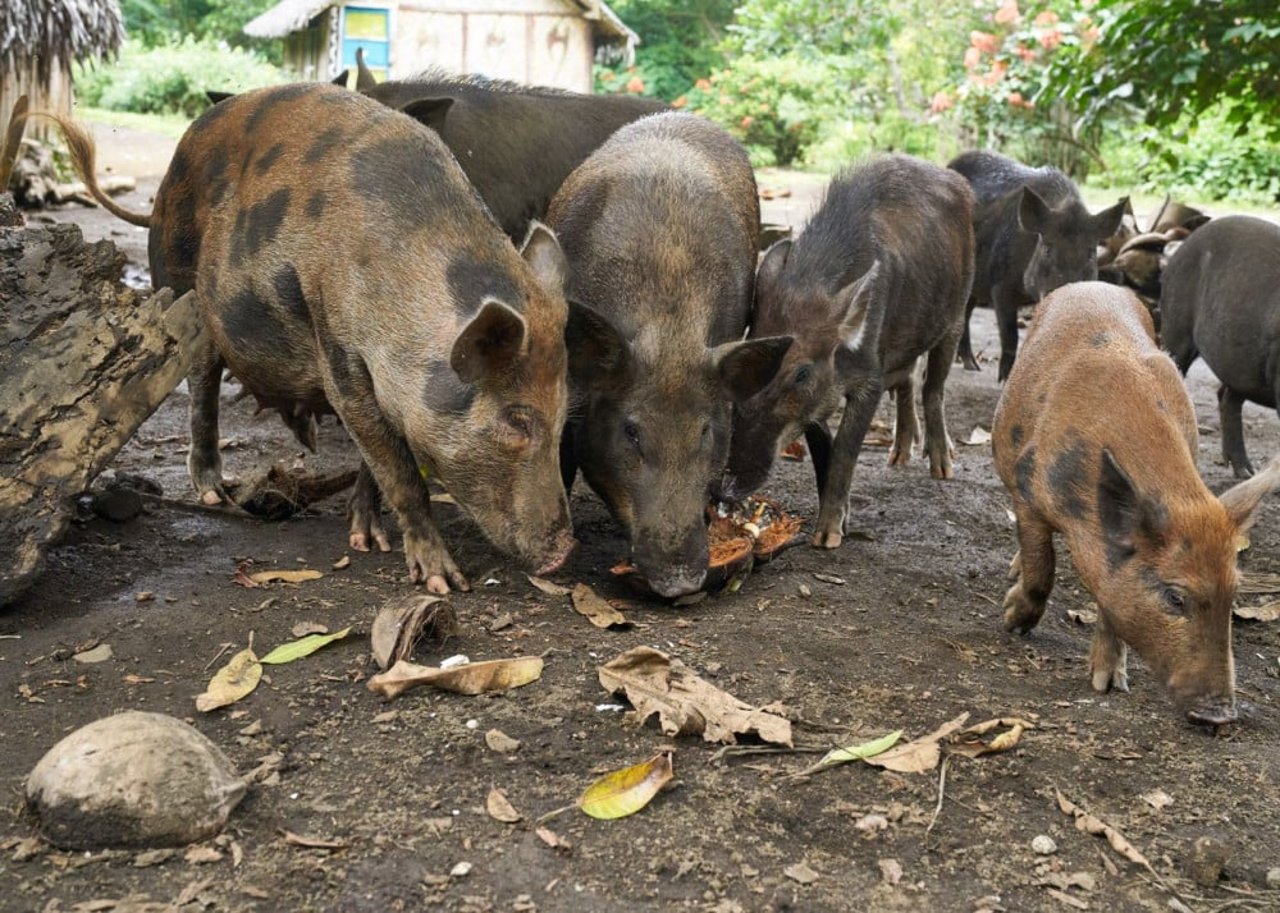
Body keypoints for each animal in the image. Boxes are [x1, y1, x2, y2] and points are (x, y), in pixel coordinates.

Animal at [45, 85, 576, 594]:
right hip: (176, 281)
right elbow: (399, 471)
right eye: (516, 420)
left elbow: (375, 459)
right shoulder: (338, 348)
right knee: (201, 383)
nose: (564, 552)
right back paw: (216, 492)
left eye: (563, 412)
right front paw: (444, 582)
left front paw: (366, 539)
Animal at [716, 154, 972, 548]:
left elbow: (846, 452)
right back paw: (898, 458)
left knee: (934, 387)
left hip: (957, 314)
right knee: (909, 379)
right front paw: (840, 526)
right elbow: (824, 451)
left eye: (801, 372)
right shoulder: (821, 401)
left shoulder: (869, 379)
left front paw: (827, 539)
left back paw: (942, 468)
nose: (724, 489)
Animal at [947, 151, 1126, 379]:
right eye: (1047, 248)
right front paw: (1004, 380)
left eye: (1090, 254)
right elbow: (1011, 338)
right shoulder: (1000, 286)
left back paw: (972, 365)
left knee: (967, 311)